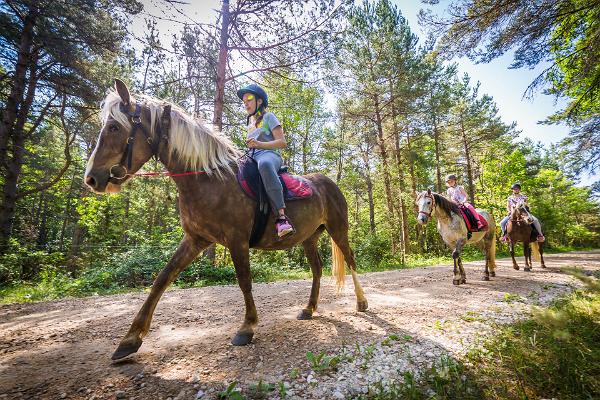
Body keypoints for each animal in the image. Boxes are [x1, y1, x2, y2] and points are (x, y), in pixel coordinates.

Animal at [83, 80, 366, 360]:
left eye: (114, 127)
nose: (92, 179)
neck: (209, 179)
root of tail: (329, 183)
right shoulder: (196, 240)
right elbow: (162, 279)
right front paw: (130, 339)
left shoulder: (236, 239)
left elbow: (244, 280)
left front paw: (247, 327)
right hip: (309, 238)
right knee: (317, 269)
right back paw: (309, 309)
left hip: (338, 229)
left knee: (351, 260)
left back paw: (361, 302)